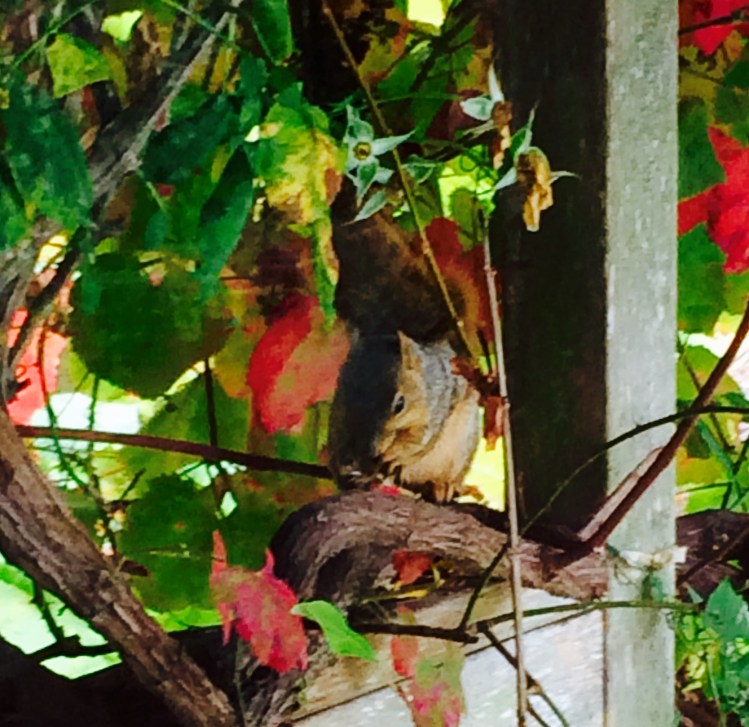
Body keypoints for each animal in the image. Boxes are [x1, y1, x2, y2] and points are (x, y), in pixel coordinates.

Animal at [328, 331, 480, 503]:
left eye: (400, 404)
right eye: (345, 397)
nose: (373, 450)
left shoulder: (435, 409)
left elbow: (416, 443)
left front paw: (393, 458)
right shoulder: (339, 420)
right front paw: (350, 467)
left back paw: (442, 486)